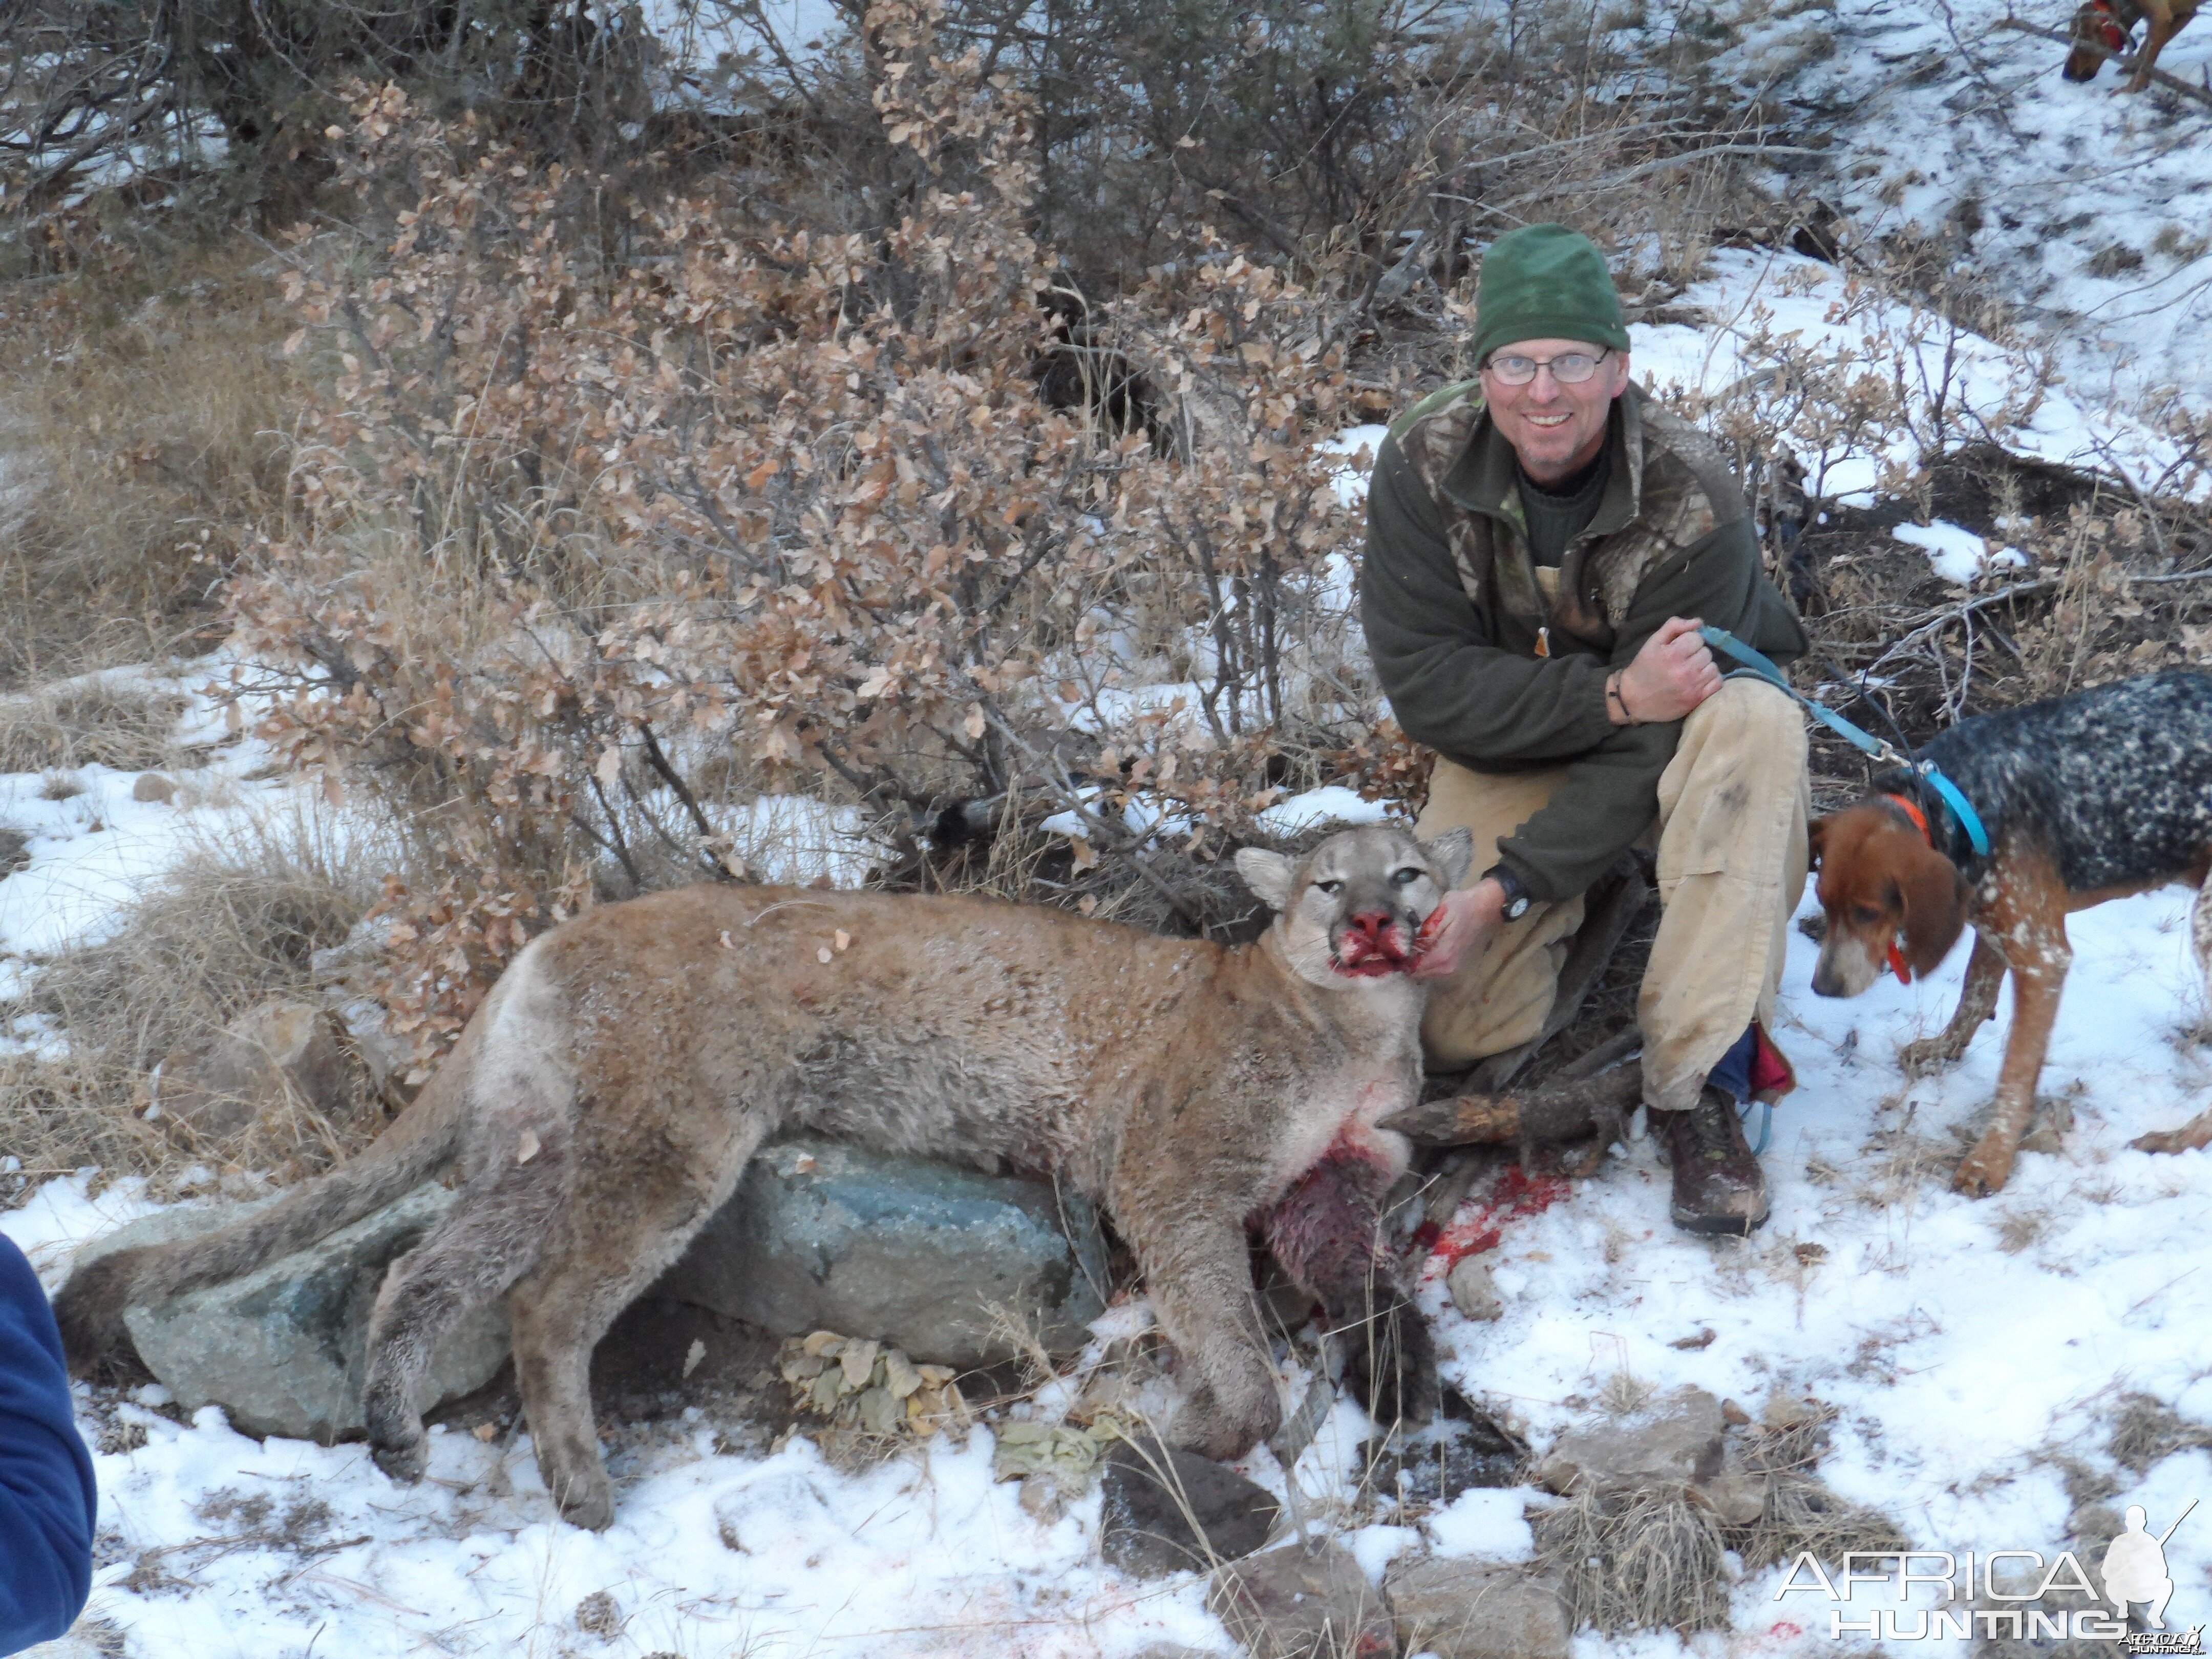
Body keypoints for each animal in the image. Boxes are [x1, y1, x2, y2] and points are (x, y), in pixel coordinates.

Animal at [52, 827, 1469, 1539]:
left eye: (1405, 868)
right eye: (1328, 879)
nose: (1370, 918)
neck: (1358, 1022)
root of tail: (547, 939)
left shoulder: (1333, 1184)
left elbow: (1341, 1290)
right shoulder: (1176, 1174)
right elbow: (1224, 1320)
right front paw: (1217, 1426)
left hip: (540, 1150)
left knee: (422, 1269)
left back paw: (398, 1436)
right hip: (669, 1146)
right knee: (545, 1305)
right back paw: (581, 1486)